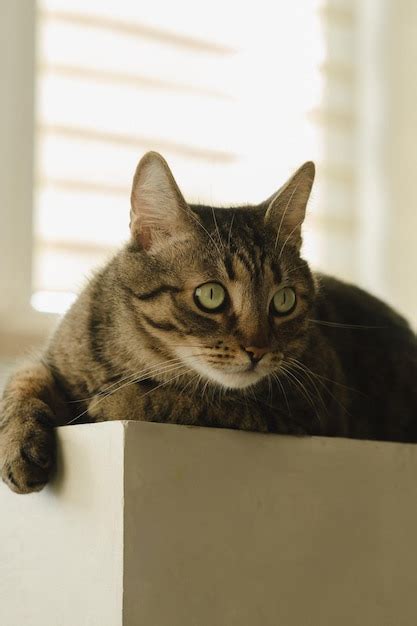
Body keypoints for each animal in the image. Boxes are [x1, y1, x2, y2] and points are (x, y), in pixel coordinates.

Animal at [0, 151, 416, 492]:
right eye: (211, 295)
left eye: (284, 300)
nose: (257, 349)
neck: (132, 359)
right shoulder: (52, 359)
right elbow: (22, 379)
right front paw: (18, 444)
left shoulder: (304, 411)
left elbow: (187, 401)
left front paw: (114, 400)